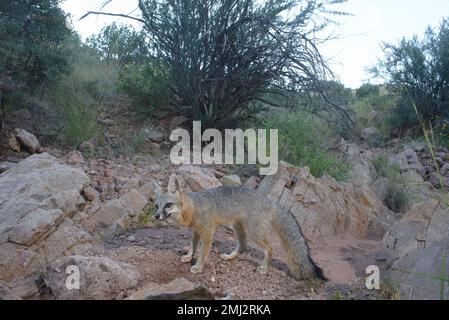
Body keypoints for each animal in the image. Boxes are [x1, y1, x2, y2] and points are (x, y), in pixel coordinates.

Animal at [154, 175, 326, 280]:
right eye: (156, 206)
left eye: (168, 205)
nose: (156, 216)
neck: (193, 207)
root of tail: (271, 201)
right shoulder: (196, 232)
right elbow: (192, 246)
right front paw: (189, 257)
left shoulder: (208, 233)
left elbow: (203, 253)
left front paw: (198, 267)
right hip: (238, 229)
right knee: (243, 247)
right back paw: (230, 257)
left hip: (253, 233)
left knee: (269, 249)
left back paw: (264, 268)